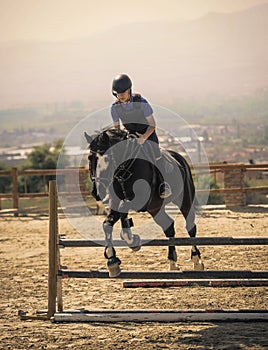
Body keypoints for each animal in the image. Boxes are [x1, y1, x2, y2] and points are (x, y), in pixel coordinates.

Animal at [85, 127, 204, 278]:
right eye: (90, 158)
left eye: (107, 158)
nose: (96, 192)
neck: (124, 171)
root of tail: (179, 158)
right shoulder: (118, 203)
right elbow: (107, 224)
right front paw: (113, 260)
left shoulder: (141, 201)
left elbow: (124, 208)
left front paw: (130, 239)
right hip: (156, 208)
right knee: (169, 227)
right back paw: (172, 262)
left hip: (185, 199)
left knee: (190, 227)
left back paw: (196, 260)